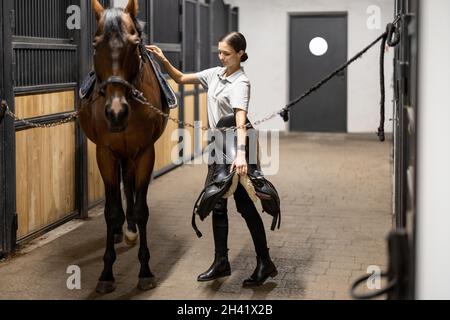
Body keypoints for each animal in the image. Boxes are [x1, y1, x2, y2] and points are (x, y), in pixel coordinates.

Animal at [77, 0, 169, 294]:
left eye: (134, 44)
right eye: (95, 45)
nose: (116, 113)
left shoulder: (145, 152)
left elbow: (140, 209)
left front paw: (145, 271)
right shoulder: (105, 152)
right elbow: (110, 211)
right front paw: (106, 274)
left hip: (131, 155)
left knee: (128, 186)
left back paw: (129, 231)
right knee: (119, 192)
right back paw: (120, 232)